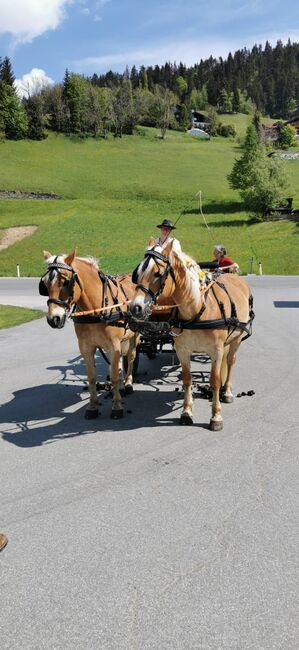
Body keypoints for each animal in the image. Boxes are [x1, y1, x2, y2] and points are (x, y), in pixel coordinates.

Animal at [39, 246, 140, 418]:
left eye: (65, 282)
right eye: (44, 284)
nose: (54, 319)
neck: (96, 310)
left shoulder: (113, 345)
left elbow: (114, 375)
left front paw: (117, 406)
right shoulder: (86, 347)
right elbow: (92, 377)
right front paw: (92, 407)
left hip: (135, 334)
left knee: (131, 357)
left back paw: (127, 383)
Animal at [130, 238, 254, 430]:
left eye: (158, 273)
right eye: (138, 272)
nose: (135, 308)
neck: (197, 309)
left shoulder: (216, 351)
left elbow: (214, 380)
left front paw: (216, 416)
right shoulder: (182, 350)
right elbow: (187, 379)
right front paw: (187, 411)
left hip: (237, 338)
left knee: (230, 361)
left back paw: (227, 391)